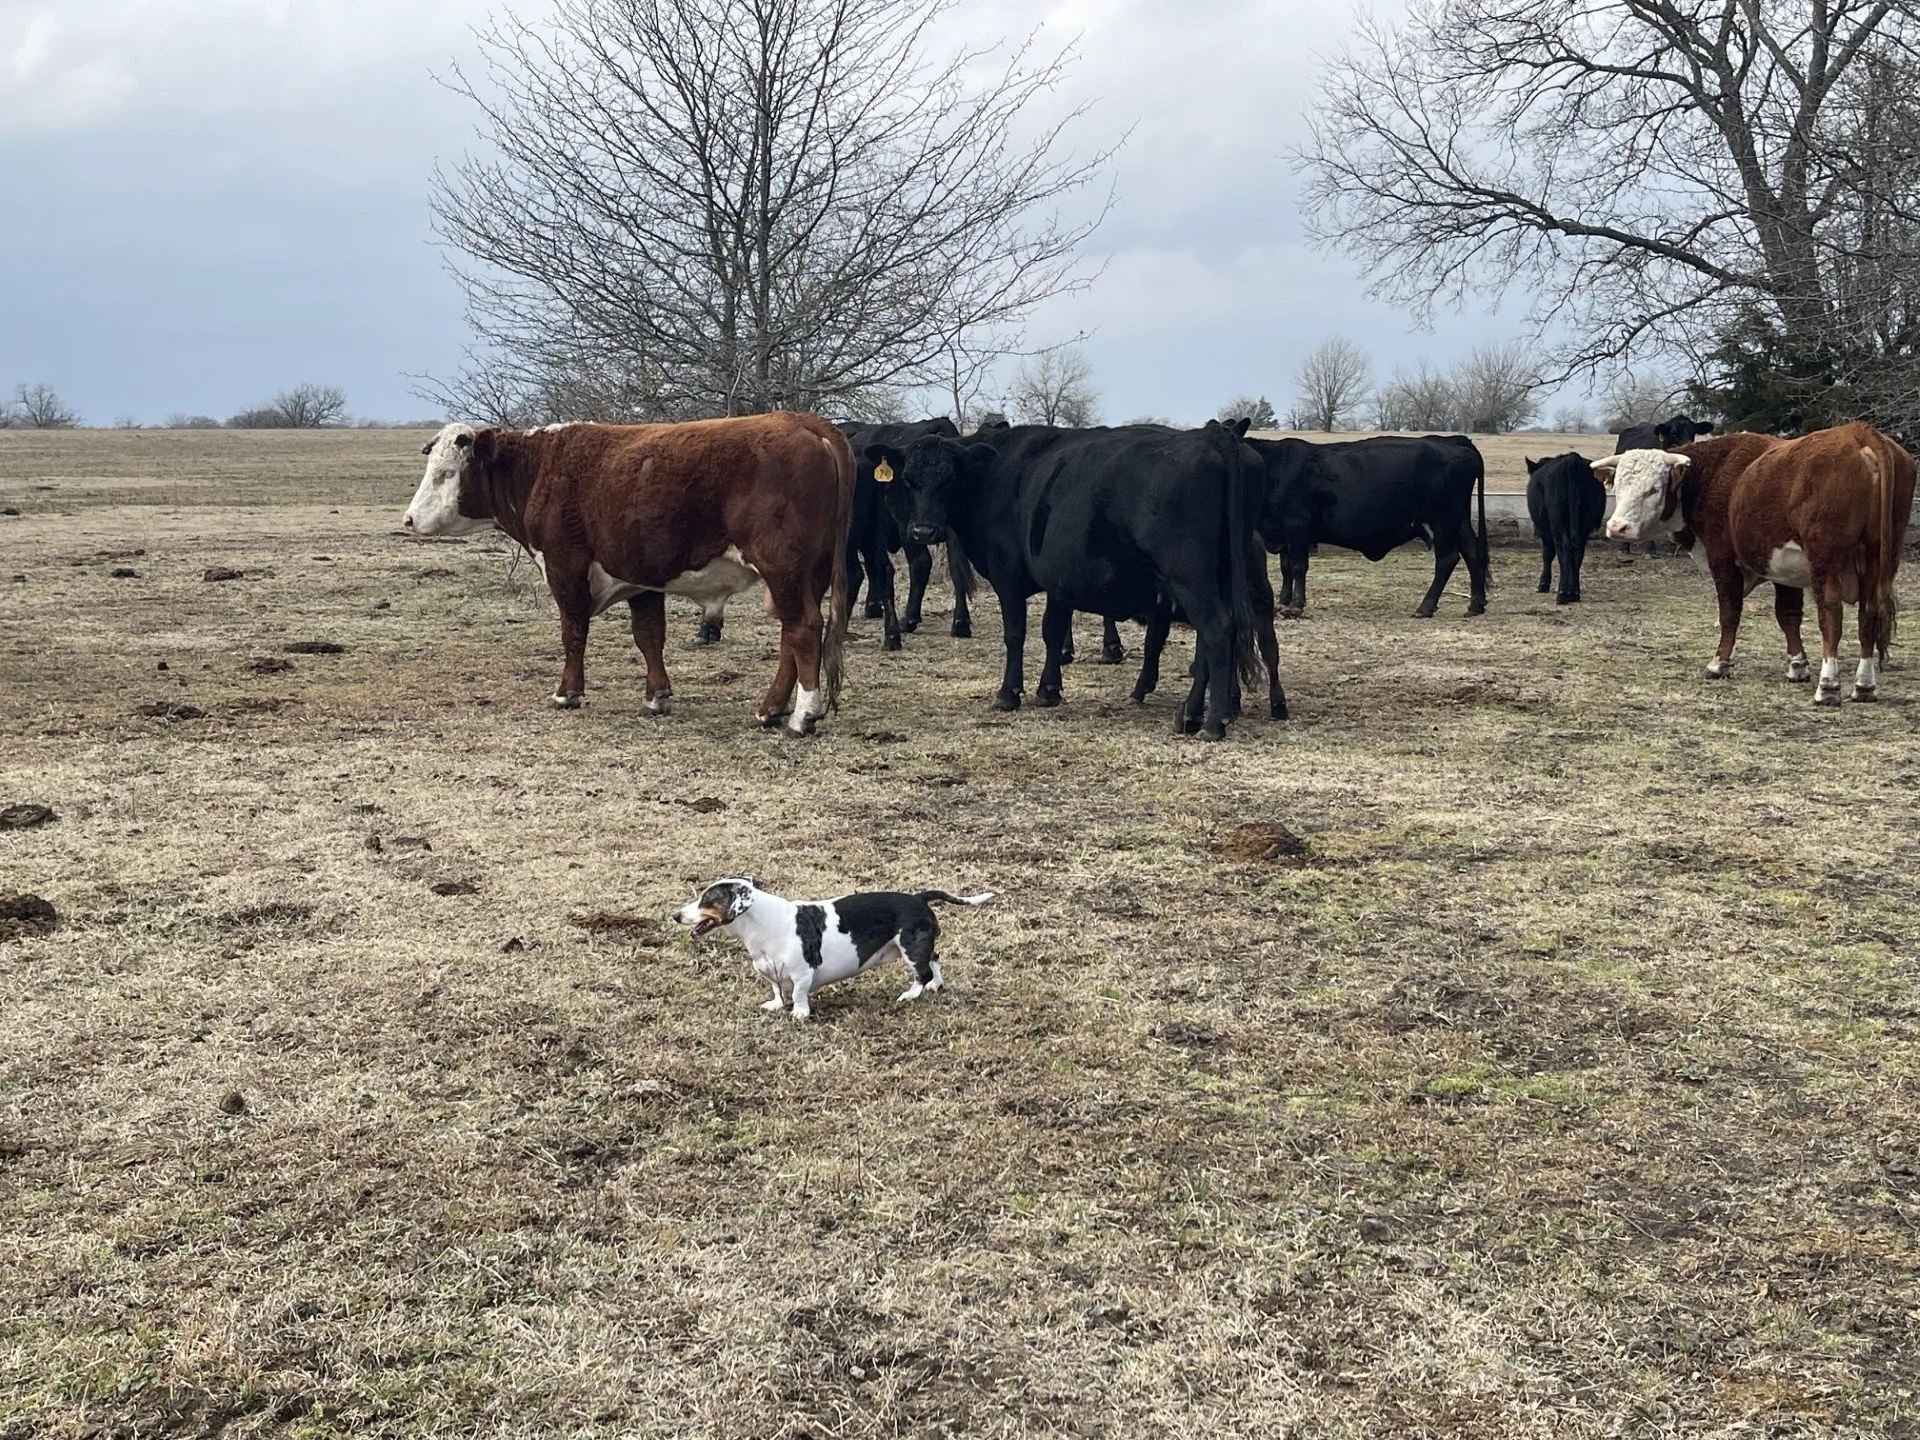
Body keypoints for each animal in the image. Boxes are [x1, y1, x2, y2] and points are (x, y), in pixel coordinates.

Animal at [404, 414, 852, 733]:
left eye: (446, 473)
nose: (409, 519)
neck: (541, 468)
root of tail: (801, 421)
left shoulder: (565, 567)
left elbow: (573, 632)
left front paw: (567, 693)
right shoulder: (642, 579)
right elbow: (649, 636)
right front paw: (657, 697)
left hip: (784, 568)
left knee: (803, 628)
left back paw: (802, 716)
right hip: (808, 574)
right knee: (790, 635)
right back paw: (771, 709)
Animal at [867, 422, 1264, 739]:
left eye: (949, 479)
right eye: (909, 480)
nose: (923, 530)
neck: (995, 474)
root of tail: (1214, 438)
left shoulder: (1008, 576)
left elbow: (1015, 634)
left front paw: (1008, 693)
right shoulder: (1059, 582)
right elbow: (1053, 632)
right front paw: (1048, 690)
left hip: (1189, 575)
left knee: (1216, 631)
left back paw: (1211, 722)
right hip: (1218, 577)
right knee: (1211, 640)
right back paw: (1192, 714)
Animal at [1249, 434, 1489, 617]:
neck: (1274, 467)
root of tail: (1452, 441)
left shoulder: (1297, 526)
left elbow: (1298, 566)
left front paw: (1295, 606)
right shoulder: (1282, 532)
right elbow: (1286, 568)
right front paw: (1282, 602)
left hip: (1443, 521)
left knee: (1447, 559)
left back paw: (1425, 607)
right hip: (1459, 521)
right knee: (1472, 553)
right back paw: (1475, 605)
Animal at [1525, 453, 1608, 604]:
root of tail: (1572, 459)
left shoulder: (1544, 529)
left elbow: (1548, 553)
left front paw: (1543, 584)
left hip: (1558, 520)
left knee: (1564, 548)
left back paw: (1563, 593)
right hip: (1584, 523)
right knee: (1578, 551)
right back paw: (1574, 593)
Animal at [1595, 423, 1913, 704]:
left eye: (1653, 489)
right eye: (1619, 485)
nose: (1617, 527)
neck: (1715, 475)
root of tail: (1862, 434)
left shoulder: (1722, 560)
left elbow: (1729, 614)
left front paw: (1719, 663)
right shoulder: (1785, 567)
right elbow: (1788, 615)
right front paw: (1797, 666)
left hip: (1827, 565)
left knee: (1831, 617)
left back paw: (1828, 686)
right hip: (1878, 560)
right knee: (1868, 616)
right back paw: (1864, 686)